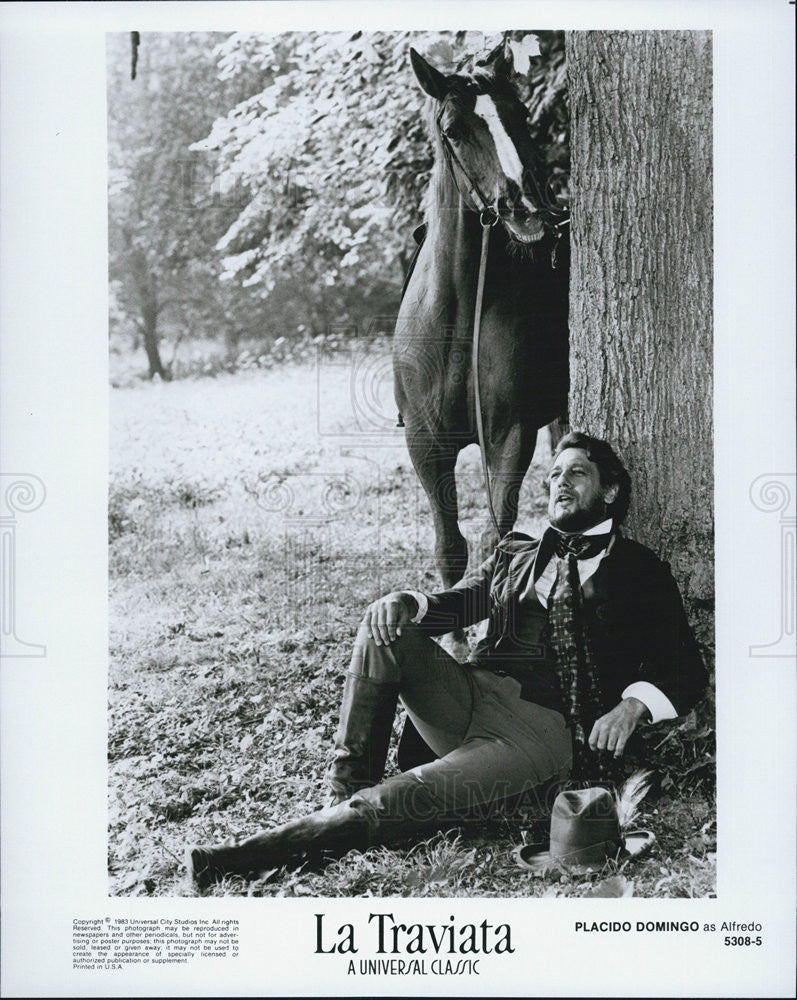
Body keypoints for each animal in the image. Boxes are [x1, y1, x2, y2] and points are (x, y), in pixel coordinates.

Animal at [394, 48, 568, 624]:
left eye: (521, 115)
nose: (528, 206)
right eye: (454, 129)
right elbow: (450, 547)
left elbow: (498, 543)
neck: (458, 314)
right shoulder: (425, 444)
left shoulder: (508, 435)